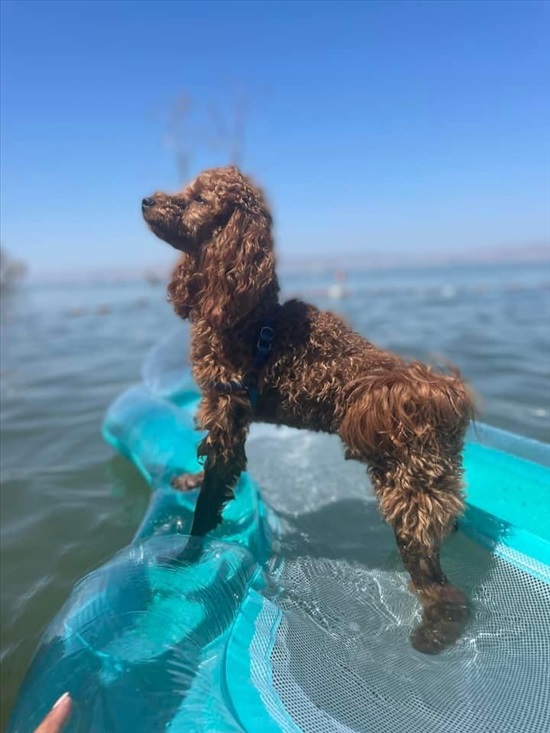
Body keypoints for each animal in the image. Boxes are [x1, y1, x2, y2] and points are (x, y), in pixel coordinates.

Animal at [144, 166, 476, 652]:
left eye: (200, 199)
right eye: (184, 190)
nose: (146, 201)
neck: (246, 318)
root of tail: (437, 390)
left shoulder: (227, 420)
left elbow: (206, 510)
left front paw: (185, 557)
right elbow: (203, 475)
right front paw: (189, 479)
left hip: (408, 490)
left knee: (438, 583)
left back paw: (436, 629)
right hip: (432, 477)